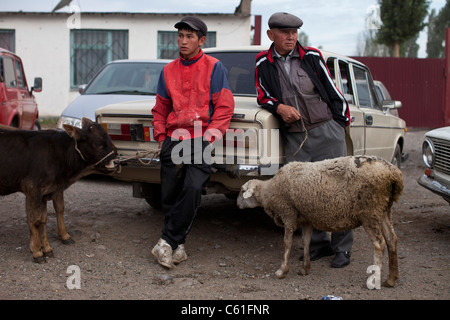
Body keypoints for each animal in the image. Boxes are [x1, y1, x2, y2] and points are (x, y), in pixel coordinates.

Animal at [237, 155, 402, 288]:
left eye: (242, 191)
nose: (237, 204)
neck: (270, 191)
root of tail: (394, 173)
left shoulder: (288, 214)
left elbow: (287, 243)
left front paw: (282, 270)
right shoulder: (306, 219)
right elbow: (306, 242)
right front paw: (305, 268)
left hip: (369, 211)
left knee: (379, 244)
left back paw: (374, 281)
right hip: (383, 210)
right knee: (391, 239)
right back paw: (391, 279)